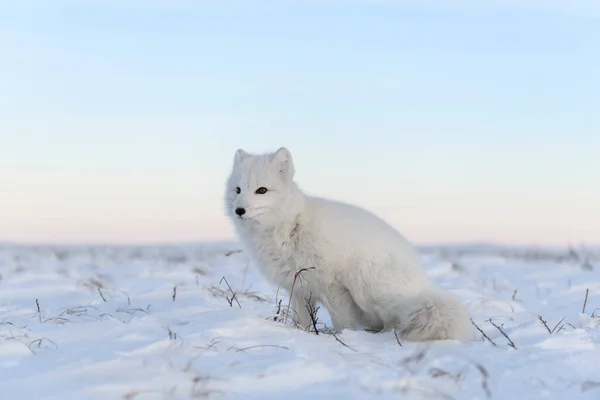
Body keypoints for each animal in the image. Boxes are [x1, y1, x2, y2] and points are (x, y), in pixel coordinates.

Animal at [225, 148, 474, 342]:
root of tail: (423, 282)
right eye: (237, 190)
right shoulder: (299, 288)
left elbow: (343, 321)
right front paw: (301, 335)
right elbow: (301, 321)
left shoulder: (332, 286)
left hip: (365, 287)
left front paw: (343, 337)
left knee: (393, 320)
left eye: (262, 190)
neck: (290, 226)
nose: (239, 210)